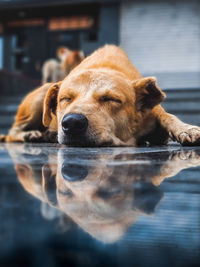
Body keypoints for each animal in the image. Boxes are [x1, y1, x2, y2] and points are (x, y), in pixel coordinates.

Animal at [0, 45, 200, 148]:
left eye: (110, 99)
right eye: (65, 99)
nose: (72, 123)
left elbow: (167, 116)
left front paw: (186, 129)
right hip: (41, 95)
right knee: (11, 133)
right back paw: (31, 134)